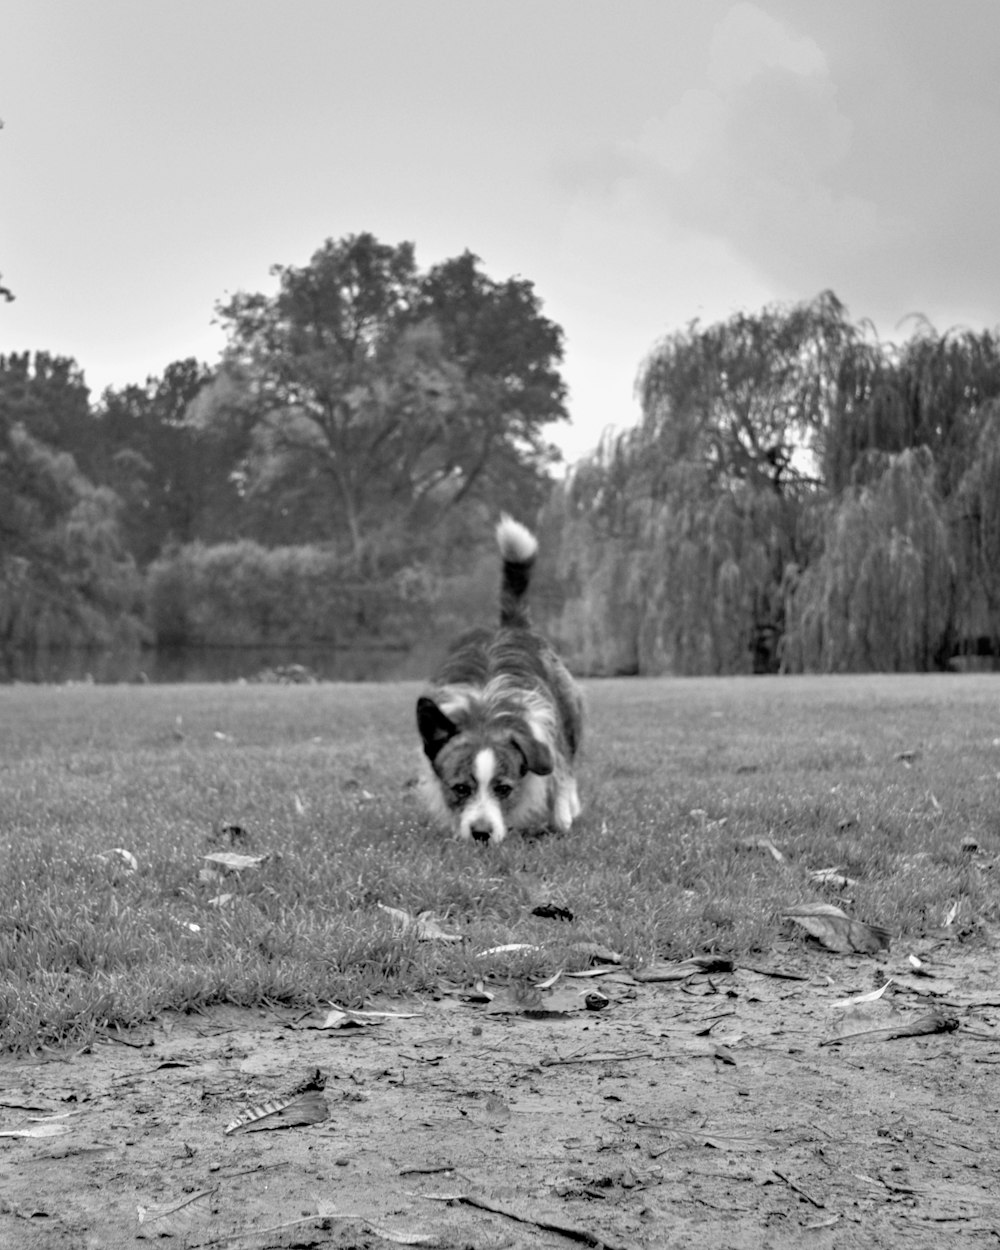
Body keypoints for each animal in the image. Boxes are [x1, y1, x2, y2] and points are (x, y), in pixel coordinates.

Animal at [415, 512, 585, 845]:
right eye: (460, 789)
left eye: (503, 789)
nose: (481, 834)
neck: (485, 714)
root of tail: (511, 626)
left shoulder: (549, 737)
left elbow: (559, 779)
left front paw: (561, 818)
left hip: (570, 714)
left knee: (570, 765)